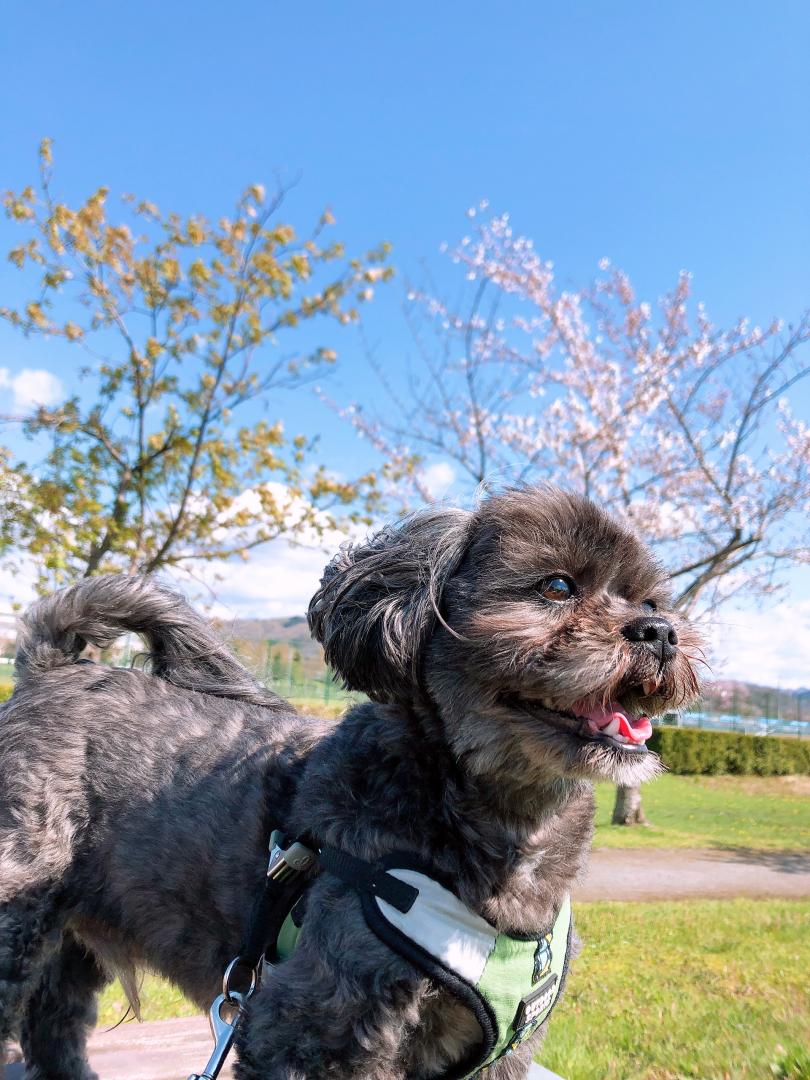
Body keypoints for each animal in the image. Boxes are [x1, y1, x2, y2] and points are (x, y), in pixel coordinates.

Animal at [0, 490, 704, 1080]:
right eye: (556, 586)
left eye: (650, 602)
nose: (661, 633)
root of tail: (47, 671)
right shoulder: (307, 1028)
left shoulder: (503, 1054)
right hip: (20, 907)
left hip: (76, 927)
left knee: (53, 1019)